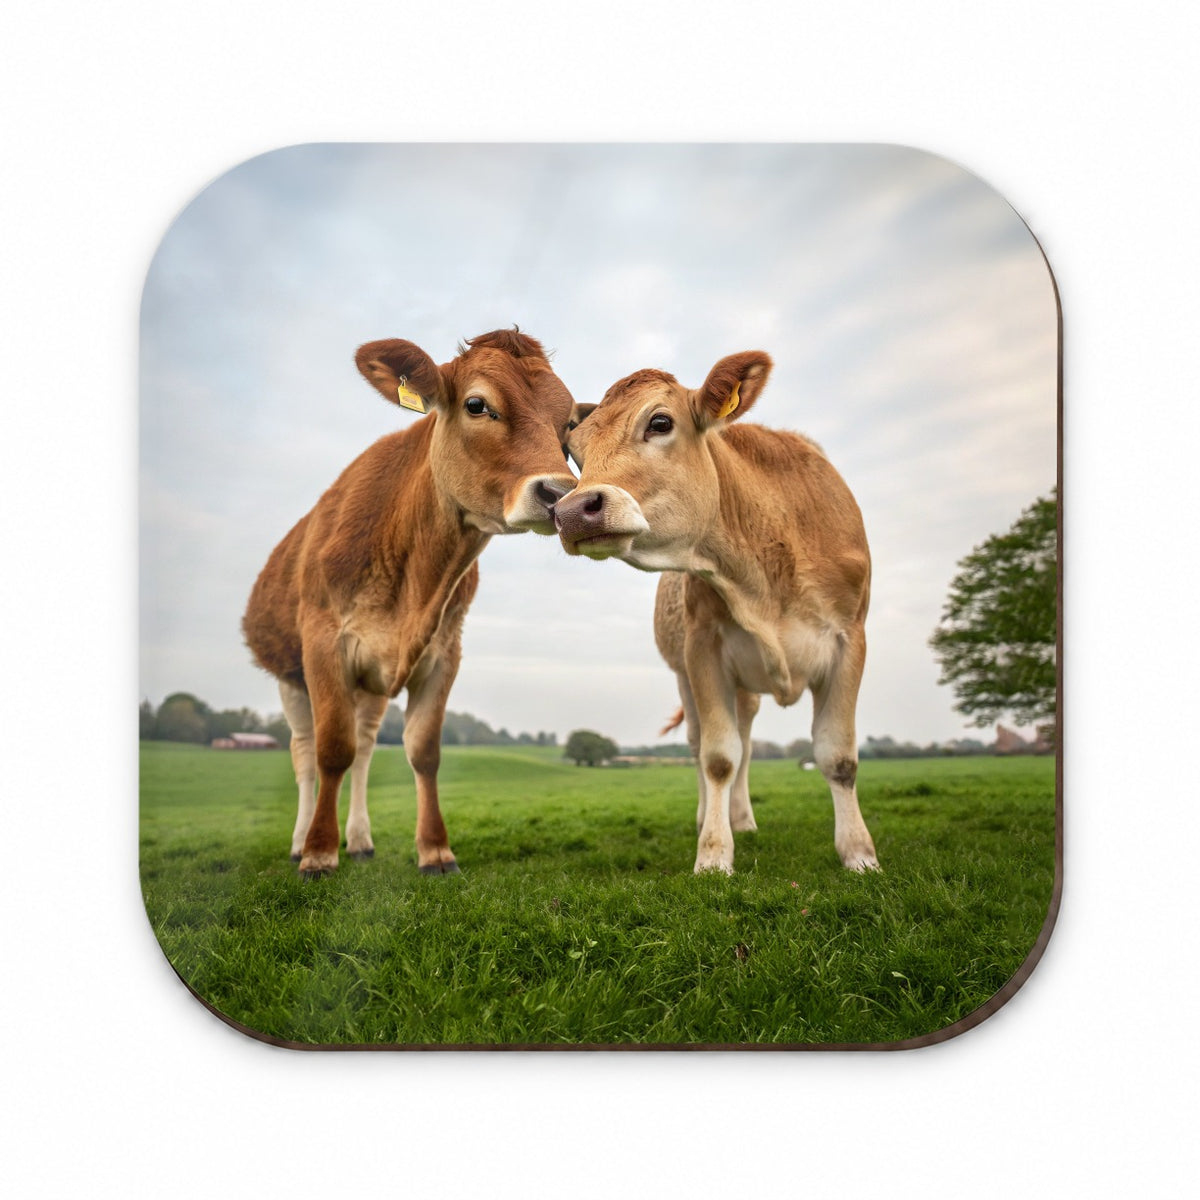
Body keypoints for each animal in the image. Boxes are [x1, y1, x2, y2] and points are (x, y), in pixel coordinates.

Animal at [243, 329, 577, 879]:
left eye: (569, 421)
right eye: (477, 405)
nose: (560, 494)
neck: (416, 581)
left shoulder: (442, 654)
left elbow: (421, 751)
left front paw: (435, 850)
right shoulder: (324, 645)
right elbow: (330, 751)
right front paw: (317, 853)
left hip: (370, 688)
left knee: (364, 748)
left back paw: (359, 841)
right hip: (290, 677)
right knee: (305, 752)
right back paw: (301, 841)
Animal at [554, 352, 879, 876]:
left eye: (660, 422)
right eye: (576, 452)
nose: (572, 511)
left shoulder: (850, 639)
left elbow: (838, 756)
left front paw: (859, 853)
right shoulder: (702, 647)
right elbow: (718, 757)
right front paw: (712, 854)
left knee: (746, 738)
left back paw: (742, 818)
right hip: (688, 674)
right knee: (703, 742)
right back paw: (712, 816)